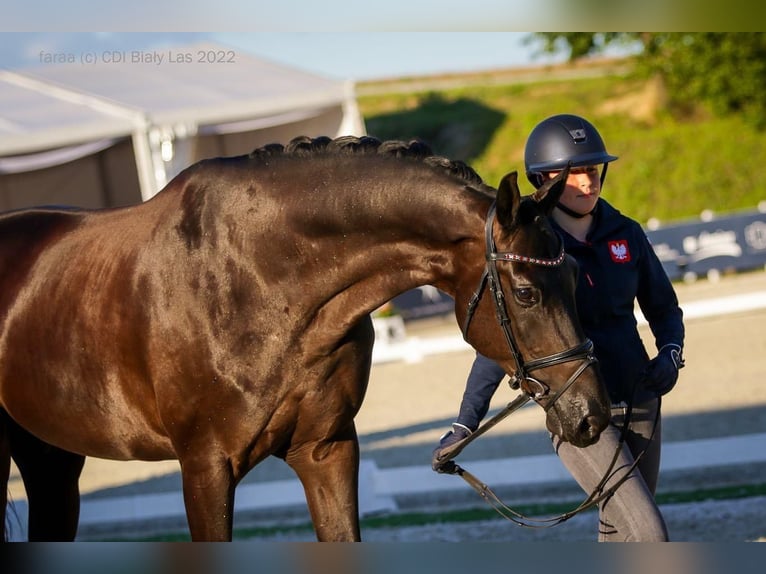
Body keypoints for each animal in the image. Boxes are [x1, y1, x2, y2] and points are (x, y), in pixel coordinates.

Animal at [0, 135, 610, 541]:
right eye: (527, 293)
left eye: (575, 277)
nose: (592, 415)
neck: (260, 279)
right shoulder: (204, 469)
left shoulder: (327, 450)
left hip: (51, 457)